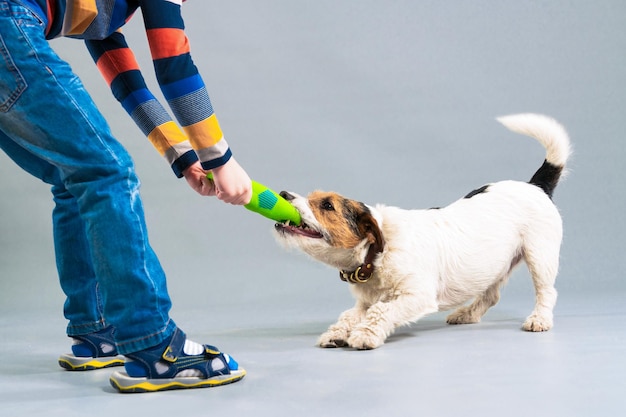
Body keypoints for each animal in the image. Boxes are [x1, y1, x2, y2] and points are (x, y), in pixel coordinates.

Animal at [272, 113, 572, 348]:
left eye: (327, 205)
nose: (283, 194)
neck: (377, 252)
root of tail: (535, 185)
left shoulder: (417, 295)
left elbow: (382, 311)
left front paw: (365, 335)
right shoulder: (363, 303)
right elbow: (351, 314)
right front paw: (337, 333)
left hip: (540, 256)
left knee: (547, 292)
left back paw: (539, 319)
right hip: (495, 265)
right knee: (490, 295)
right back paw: (466, 315)